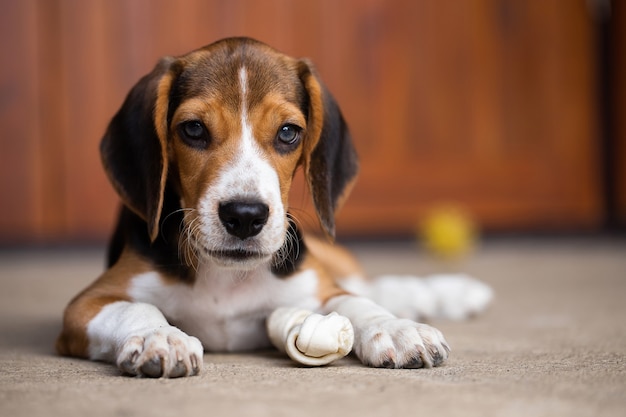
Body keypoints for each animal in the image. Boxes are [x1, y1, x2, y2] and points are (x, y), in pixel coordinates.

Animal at [54, 38, 454, 376]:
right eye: (193, 129)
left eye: (288, 132)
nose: (245, 217)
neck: (226, 277)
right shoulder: (86, 305)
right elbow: (137, 307)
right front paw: (161, 336)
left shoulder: (316, 288)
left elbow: (355, 303)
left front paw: (397, 329)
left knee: (366, 286)